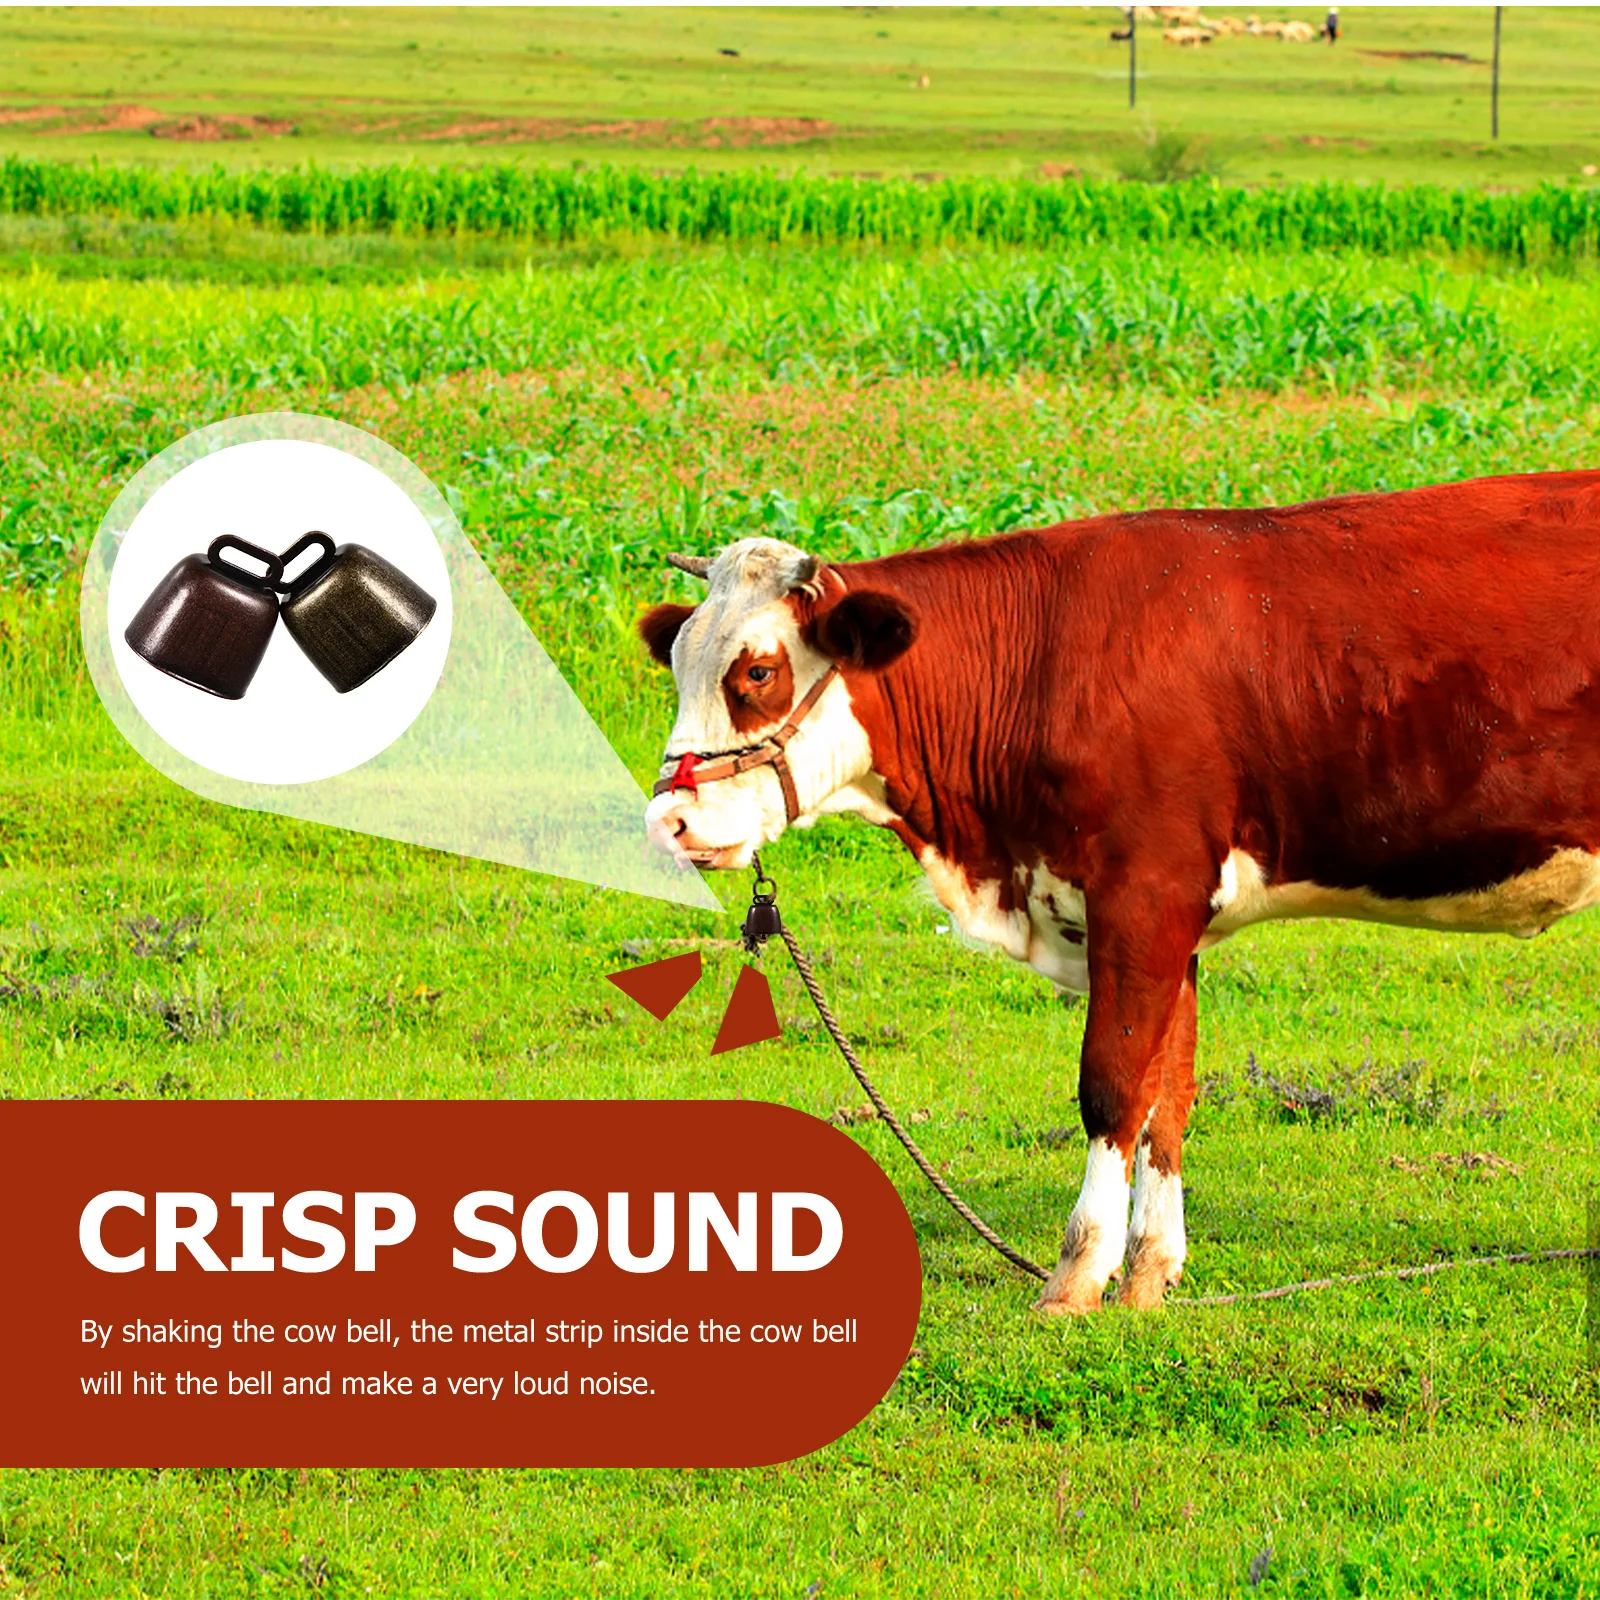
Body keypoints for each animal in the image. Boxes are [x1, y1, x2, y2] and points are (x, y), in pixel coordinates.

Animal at [639, 470, 1600, 1314]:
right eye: (679, 663)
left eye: (757, 673)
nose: (670, 821)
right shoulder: (1173, 911)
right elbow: (1166, 1094)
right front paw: (1148, 1274)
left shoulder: (1144, 892)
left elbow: (1110, 1086)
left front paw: (1077, 1275)